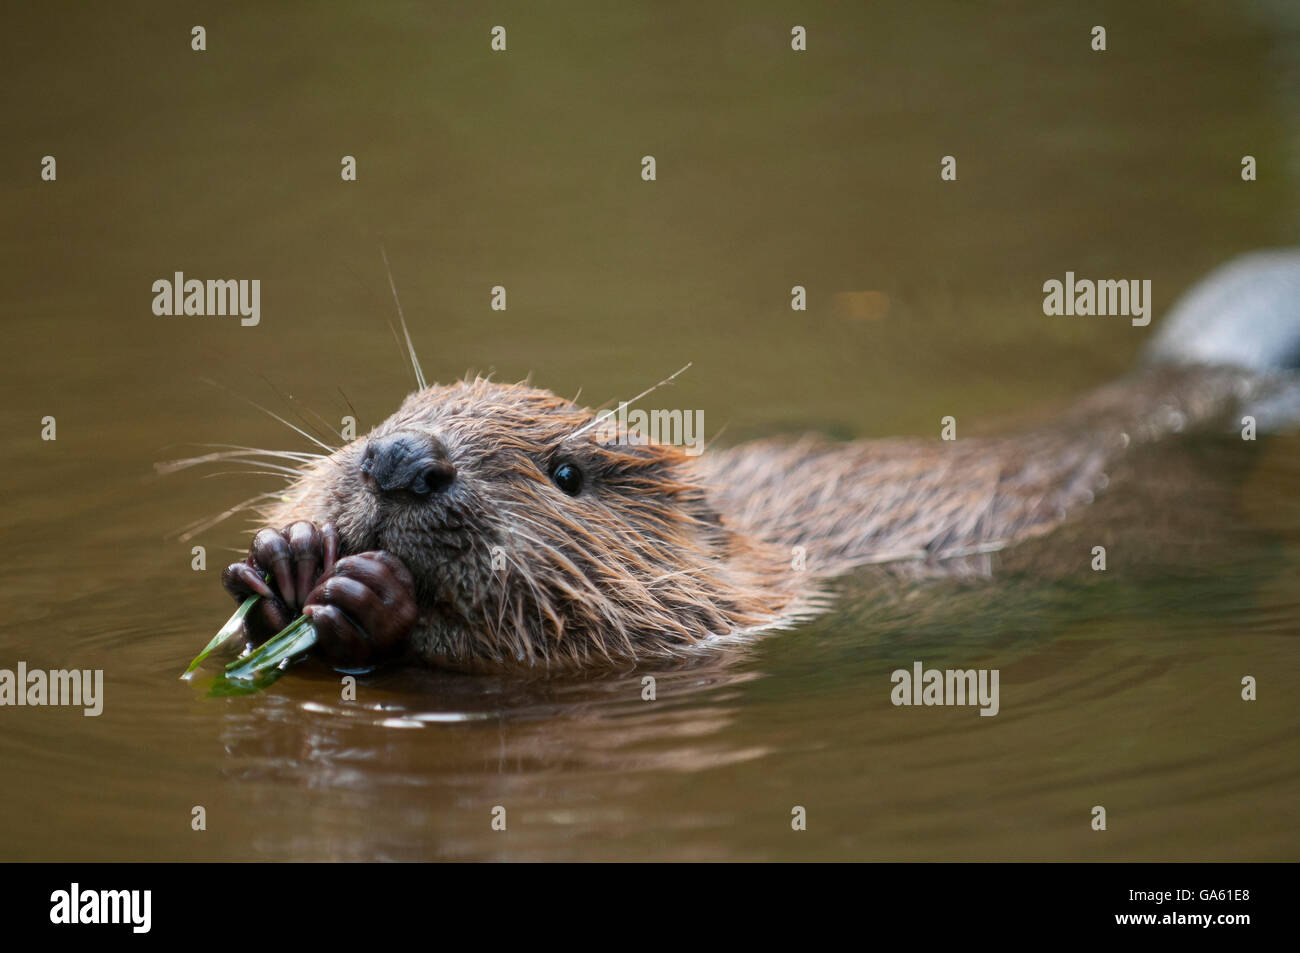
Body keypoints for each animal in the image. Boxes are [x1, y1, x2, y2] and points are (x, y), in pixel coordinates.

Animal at [215, 249, 1300, 670]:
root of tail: (1195, 379)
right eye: (395, 410)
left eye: (566, 473)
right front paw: (287, 564)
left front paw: (362, 594)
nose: (401, 458)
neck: (766, 550)